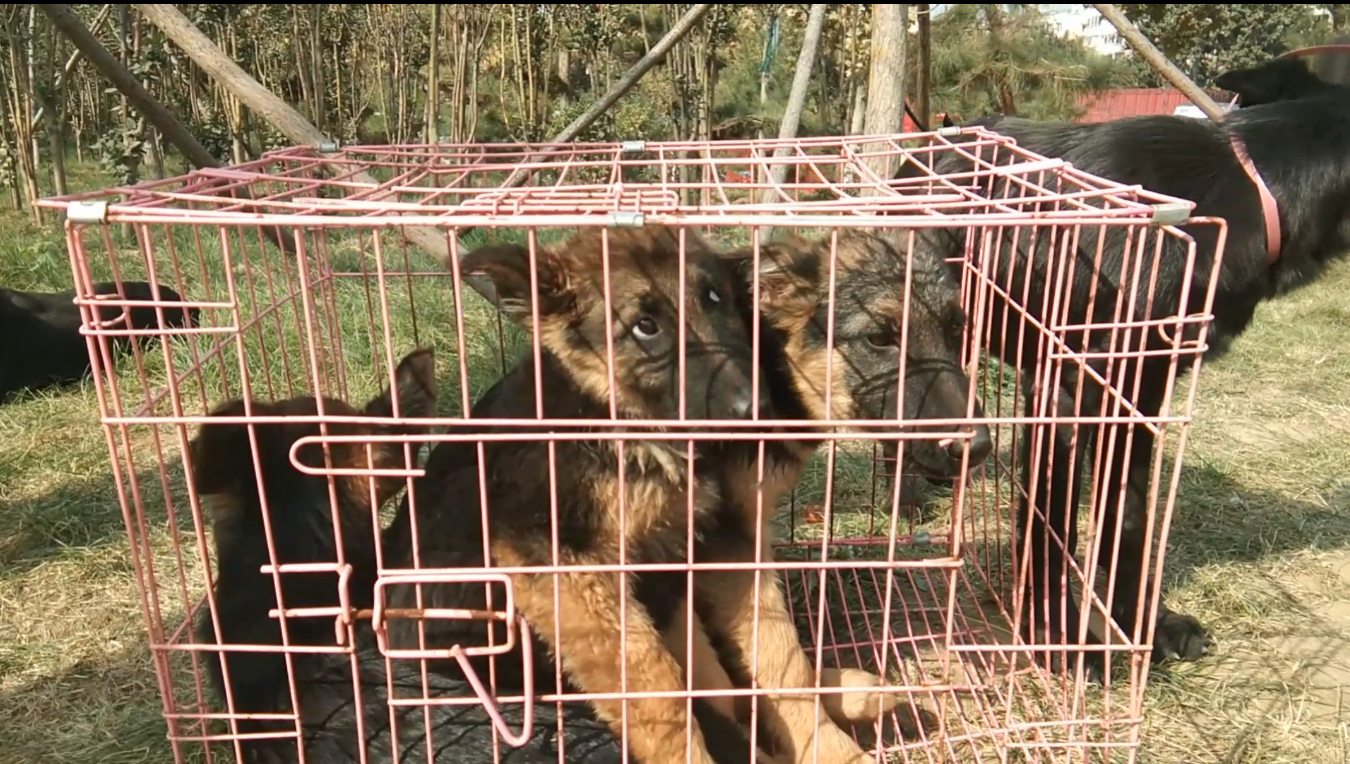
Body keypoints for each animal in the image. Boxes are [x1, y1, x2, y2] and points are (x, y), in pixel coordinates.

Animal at [380, 230, 783, 764]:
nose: (759, 408)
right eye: (646, 327)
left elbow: (712, 674)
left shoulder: (665, 569)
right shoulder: (564, 569)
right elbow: (658, 686)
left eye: (715, 297)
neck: (608, 417)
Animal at [675, 229, 993, 764]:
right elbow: (780, 664)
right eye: (880, 338)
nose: (980, 448)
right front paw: (828, 747)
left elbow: (780, 660)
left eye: (956, 330)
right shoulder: (727, 544)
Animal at [896, 58, 1350, 683]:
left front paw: (1145, 627)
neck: (1250, 196)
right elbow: (1052, 525)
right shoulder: (1063, 393)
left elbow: (1129, 520)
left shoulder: (1143, 395)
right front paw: (1058, 638)